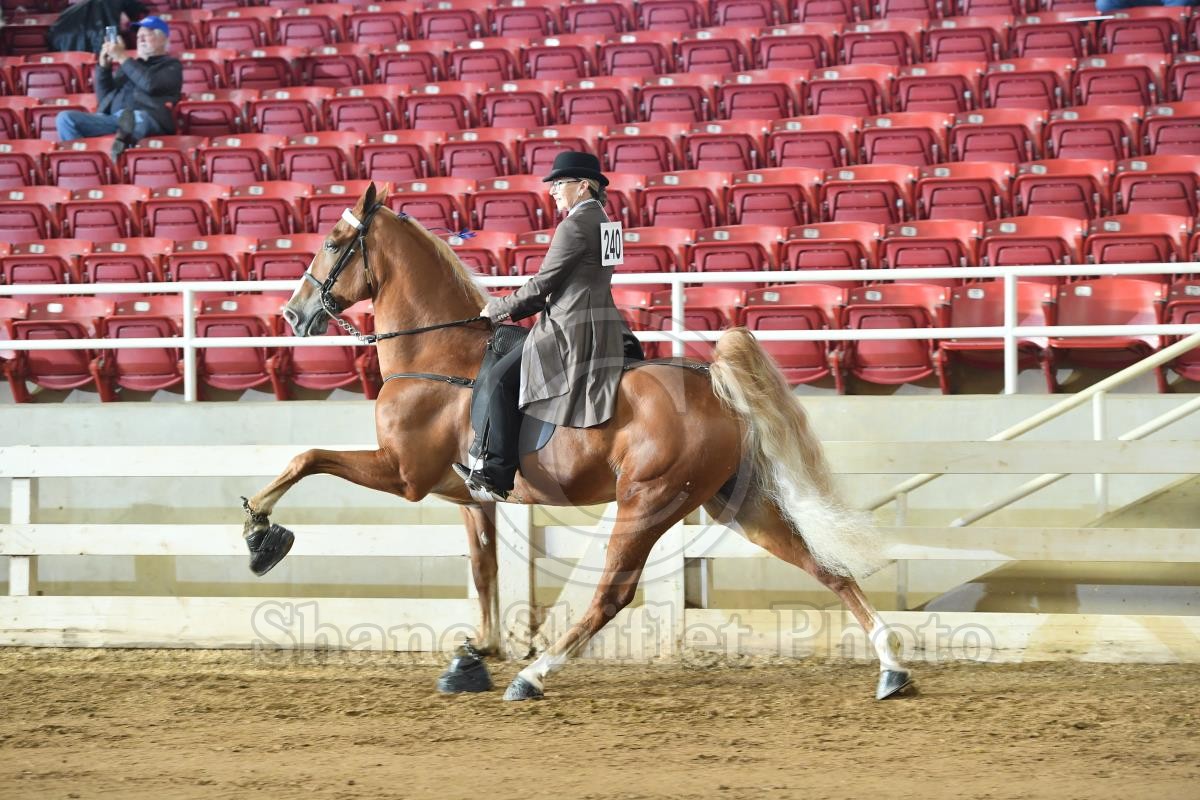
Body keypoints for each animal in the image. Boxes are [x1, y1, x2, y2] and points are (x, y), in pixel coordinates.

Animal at [242, 182, 913, 701]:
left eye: (334, 242)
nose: (292, 314)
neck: (436, 355)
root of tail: (711, 382)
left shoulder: (402, 473)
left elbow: (306, 457)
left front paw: (260, 533)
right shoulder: (468, 494)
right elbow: (484, 567)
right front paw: (478, 650)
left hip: (646, 505)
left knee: (611, 595)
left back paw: (536, 675)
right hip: (736, 503)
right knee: (825, 567)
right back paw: (892, 669)